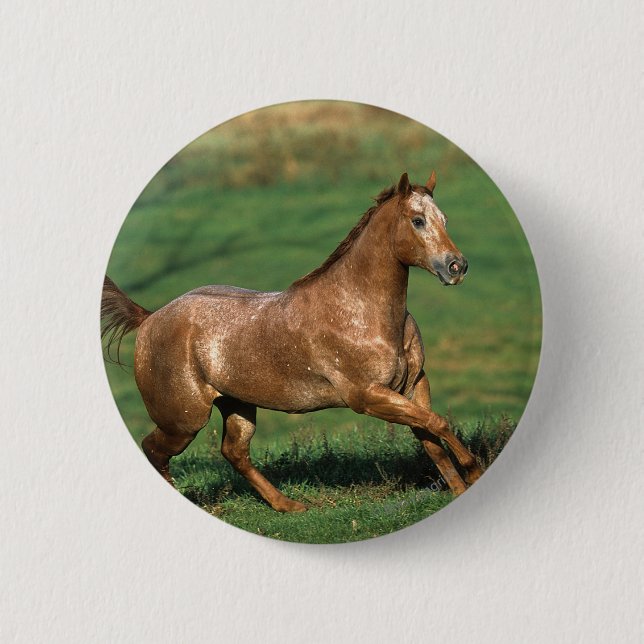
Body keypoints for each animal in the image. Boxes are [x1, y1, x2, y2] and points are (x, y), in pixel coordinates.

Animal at [101, 171, 483, 512]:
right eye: (417, 220)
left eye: (444, 219)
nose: (457, 266)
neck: (359, 310)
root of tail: (149, 318)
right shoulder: (367, 396)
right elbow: (438, 423)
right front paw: (474, 468)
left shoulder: (413, 385)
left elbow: (431, 437)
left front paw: (462, 486)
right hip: (183, 420)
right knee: (154, 450)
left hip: (237, 405)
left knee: (234, 452)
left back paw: (289, 505)